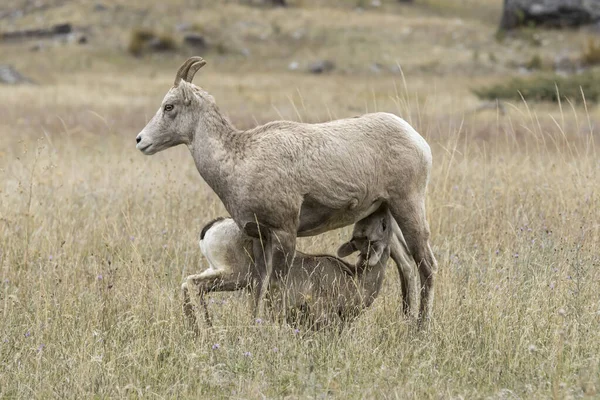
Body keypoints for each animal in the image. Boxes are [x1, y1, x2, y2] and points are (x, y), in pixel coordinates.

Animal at [183, 205, 398, 330]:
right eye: (384, 226)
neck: (354, 279)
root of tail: (214, 226)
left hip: (220, 273)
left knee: (187, 285)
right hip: (236, 277)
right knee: (193, 284)